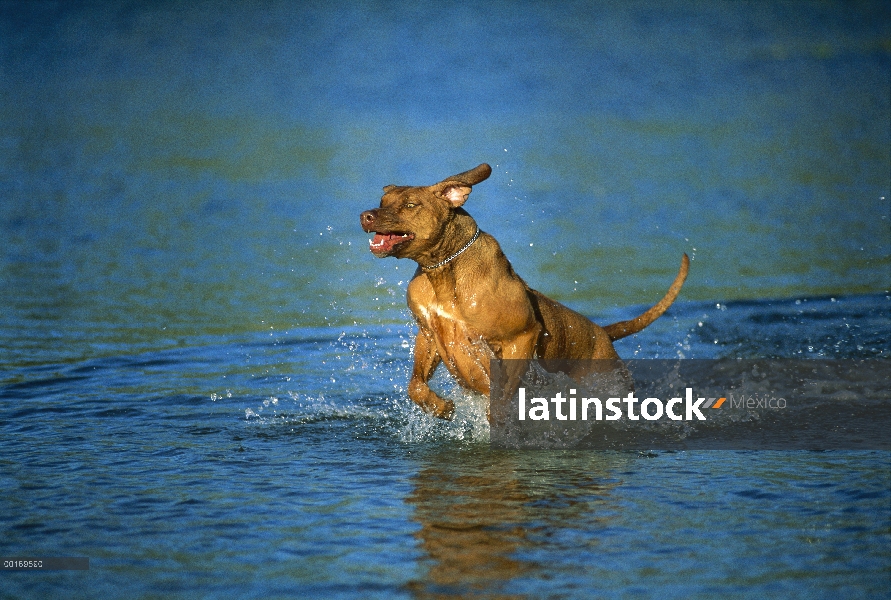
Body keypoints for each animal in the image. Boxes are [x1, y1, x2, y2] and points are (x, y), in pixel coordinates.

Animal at [362, 162, 688, 420]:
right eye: (382, 199)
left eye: (410, 205)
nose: (366, 215)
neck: (444, 268)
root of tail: (603, 334)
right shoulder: (428, 334)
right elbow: (416, 385)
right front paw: (441, 408)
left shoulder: (522, 336)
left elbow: (504, 392)